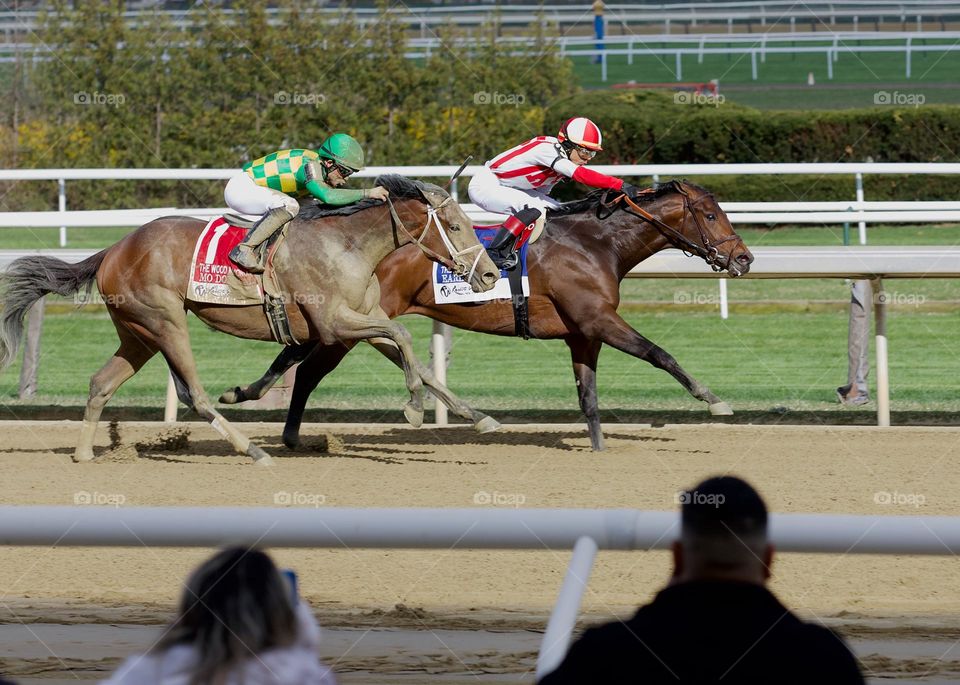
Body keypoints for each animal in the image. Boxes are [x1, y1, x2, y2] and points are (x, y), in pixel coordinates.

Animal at [1, 175, 502, 464]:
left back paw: (84, 453)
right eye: (454, 226)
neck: (348, 245)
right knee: (194, 395)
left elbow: (413, 357)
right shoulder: (334, 324)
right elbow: (402, 337)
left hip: (137, 332)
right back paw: (252, 449)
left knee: (101, 382)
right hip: (164, 320)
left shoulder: (363, 318)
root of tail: (114, 249)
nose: (491, 274)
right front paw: (414, 408)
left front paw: (477, 417)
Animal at [221, 179, 752, 452]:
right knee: (310, 367)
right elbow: (660, 354)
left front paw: (599, 450)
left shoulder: (583, 333)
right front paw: (714, 400)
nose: (744, 259)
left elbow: (589, 397)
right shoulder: (598, 320)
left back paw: (255, 400)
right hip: (348, 322)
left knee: (303, 357)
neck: (596, 243)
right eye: (710, 215)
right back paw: (285, 428)